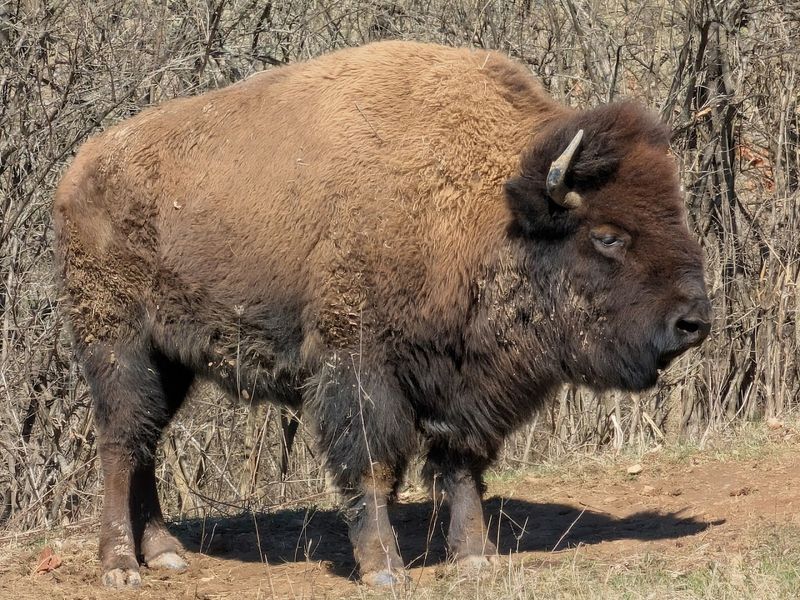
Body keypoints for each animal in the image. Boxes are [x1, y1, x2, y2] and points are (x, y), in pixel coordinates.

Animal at [53, 41, 711, 588]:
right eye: (608, 236)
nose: (694, 322)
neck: (485, 210)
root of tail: (77, 172)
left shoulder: (463, 384)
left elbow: (462, 466)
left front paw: (476, 558)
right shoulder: (360, 365)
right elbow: (372, 463)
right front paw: (384, 568)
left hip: (172, 360)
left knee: (145, 441)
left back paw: (165, 553)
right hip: (118, 342)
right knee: (121, 441)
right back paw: (120, 567)